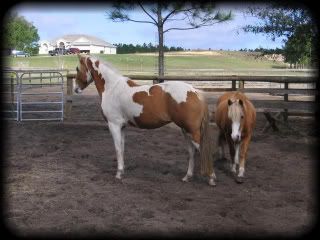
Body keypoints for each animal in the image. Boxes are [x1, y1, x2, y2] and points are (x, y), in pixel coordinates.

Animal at [74, 54, 216, 186]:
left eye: (77, 68)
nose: (76, 89)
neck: (112, 88)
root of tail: (194, 91)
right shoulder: (122, 126)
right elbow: (122, 147)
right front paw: (123, 170)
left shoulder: (113, 125)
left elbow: (118, 148)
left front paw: (118, 174)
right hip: (185, 130)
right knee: (191, 152)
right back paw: (187, 177)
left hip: (192, 131)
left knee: (202, 151)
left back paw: (211, 178)